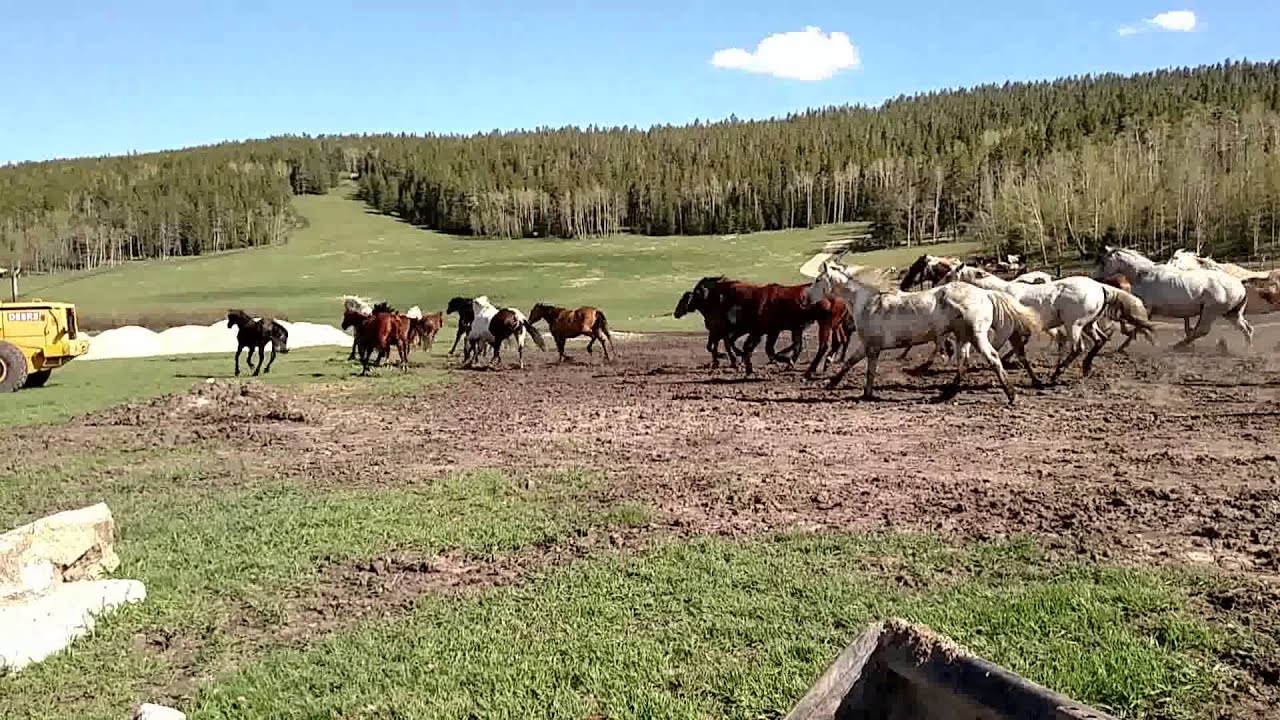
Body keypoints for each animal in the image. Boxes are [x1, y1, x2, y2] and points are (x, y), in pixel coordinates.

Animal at [808, 261, 1042, 403]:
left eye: (818, 280)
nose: (806, 298)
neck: (868, 303)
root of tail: (985, 293)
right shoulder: (869, 346)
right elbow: (853, 364)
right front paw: (839, 386)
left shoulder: (870, 345)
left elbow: (864, 368)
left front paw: (852, 389)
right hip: (963, 337)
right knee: (963, 361)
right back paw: (947, 393)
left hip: (976, 336)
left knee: (992, 358)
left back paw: (1012, 395)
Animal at [946, 264, 1155, 381]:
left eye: (949, 274)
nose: (943, 285)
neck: (1002, 292)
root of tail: (1100, 286)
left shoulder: (1006, 330)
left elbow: (996, 348)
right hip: (1089, 324)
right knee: (1100, 340)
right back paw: (1085, 367)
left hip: (1074, 324)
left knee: (1078, 348)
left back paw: (1057, 374)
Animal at [1093, 246, 1252, 350]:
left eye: (1103, 262)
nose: (1095, 278)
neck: (1143, 274)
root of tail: (1240, 284)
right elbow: (1136, 325)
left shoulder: (1145, 308)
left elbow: (1138, 326)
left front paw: (1126, 346)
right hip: (1231, 314)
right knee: (1247, 329)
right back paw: (1246, 350)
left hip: (1210, 312)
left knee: (1201, 331)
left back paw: (1178, 346)